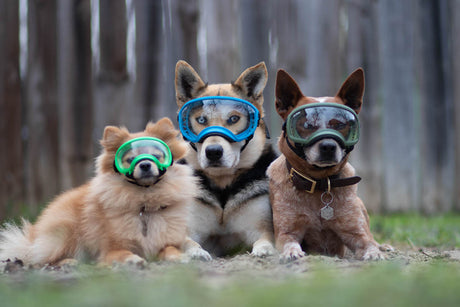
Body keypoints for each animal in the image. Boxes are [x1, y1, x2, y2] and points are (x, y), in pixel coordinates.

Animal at [175, 61, 276, 258]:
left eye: (234, 118)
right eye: (201, 120)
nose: (213, 152)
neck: (223, 187)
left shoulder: (261, 227)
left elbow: (265, 240)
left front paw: (264, 250)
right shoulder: (189, 228)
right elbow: (188, 242)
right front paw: (196, 253)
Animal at [268, 68, 394, 262]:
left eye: (341, 124)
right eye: (307, 125)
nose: (328, 146)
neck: (320, 184)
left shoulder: (356, 232)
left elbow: (368, 242)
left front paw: (375, 253)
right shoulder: (286, 232)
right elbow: (290, 243)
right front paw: (292, 252)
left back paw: (385, 247)